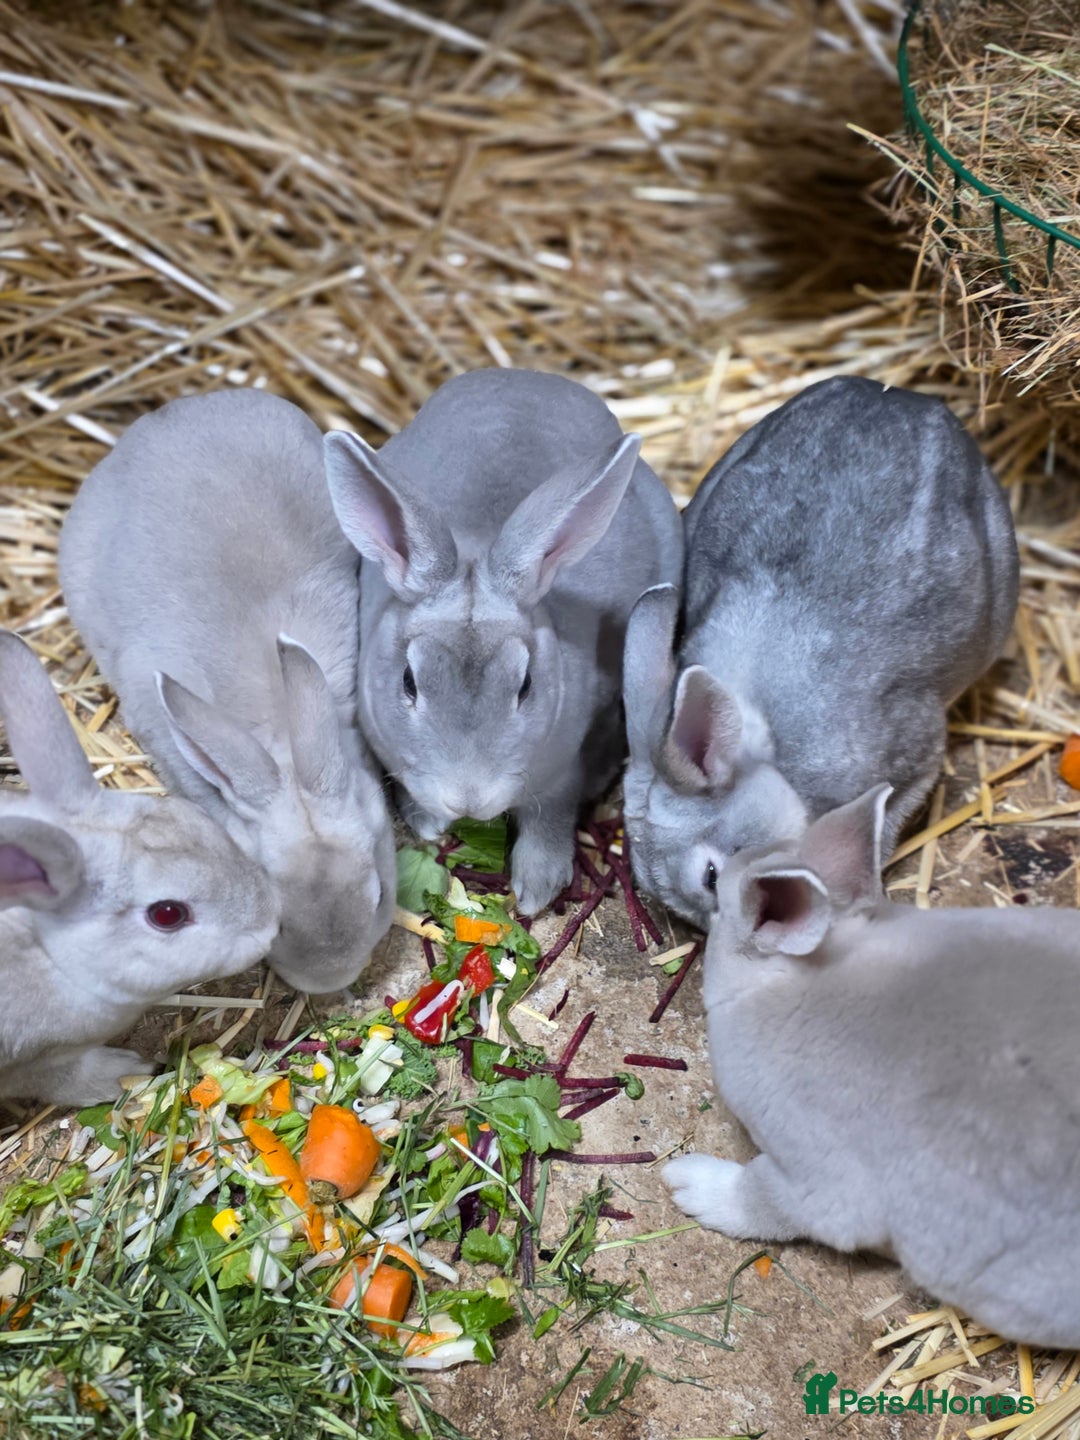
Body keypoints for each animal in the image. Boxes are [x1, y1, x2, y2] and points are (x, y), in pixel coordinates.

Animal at [0, 629, 280, 1105]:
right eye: (167, 914)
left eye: (194, 817)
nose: (272, 923)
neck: (51, 955)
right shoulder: (33, 1061)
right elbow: (63, 1079)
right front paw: (126, 1073)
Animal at [322, 367, 684, 915]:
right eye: (409, 682)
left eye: (526, 685)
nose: (467, 799)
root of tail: (528, 374)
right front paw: (429, 825)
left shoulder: (561, 771)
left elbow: (550, 817)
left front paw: (536, 890)